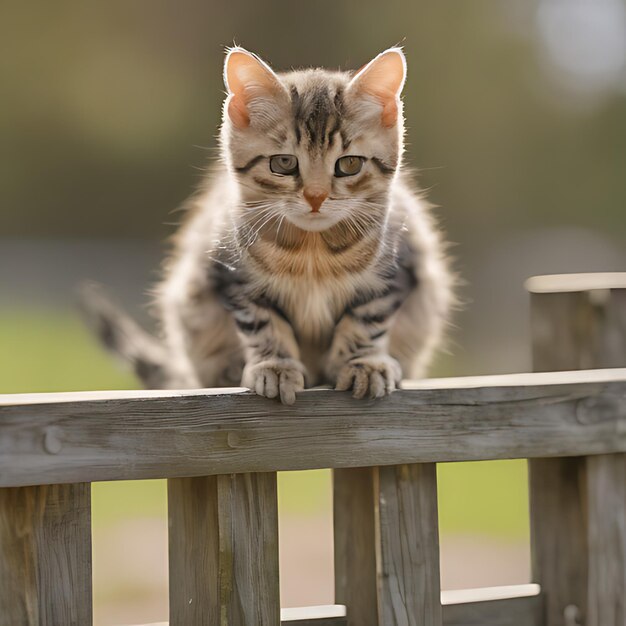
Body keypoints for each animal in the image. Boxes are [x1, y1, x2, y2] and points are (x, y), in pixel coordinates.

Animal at [83, 46, 454, 402]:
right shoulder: (232, 274)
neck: (313, 252)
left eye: (349, 164)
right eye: (284, 163)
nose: (316, 197)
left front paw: (363, 363)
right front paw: (275, 367)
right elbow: (263, 323)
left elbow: (368, 318)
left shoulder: (398, 265)